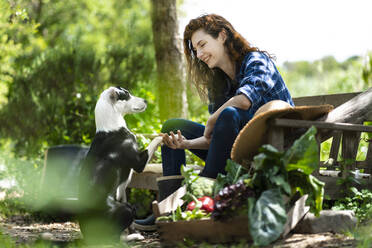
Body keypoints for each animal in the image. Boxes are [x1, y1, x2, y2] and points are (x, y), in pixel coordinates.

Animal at [77, 86, 161, 243]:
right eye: (127, 95)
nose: (146, 101)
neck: (111, 127)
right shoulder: (139, 163)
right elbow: (154, 141)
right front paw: (165, 135)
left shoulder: (122, 190)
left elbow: (132, 223)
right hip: (126, 210)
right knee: (113, 238)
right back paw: (130, 238)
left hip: (127, 206)